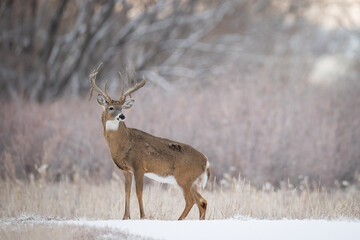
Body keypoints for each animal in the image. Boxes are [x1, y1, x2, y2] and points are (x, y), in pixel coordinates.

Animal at [88, 63, 210, 219]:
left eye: (121, 108)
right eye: (111, 107)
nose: (122, 116)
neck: (124, 144)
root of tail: (206, 161)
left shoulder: (139, 166)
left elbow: (139, 193)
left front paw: (143, 216)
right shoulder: (126, 170)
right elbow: (126, 192)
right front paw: (125, 217)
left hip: (185, 177)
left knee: (192, 200)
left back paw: (178, 220)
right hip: (192, 181)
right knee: (202, 202)